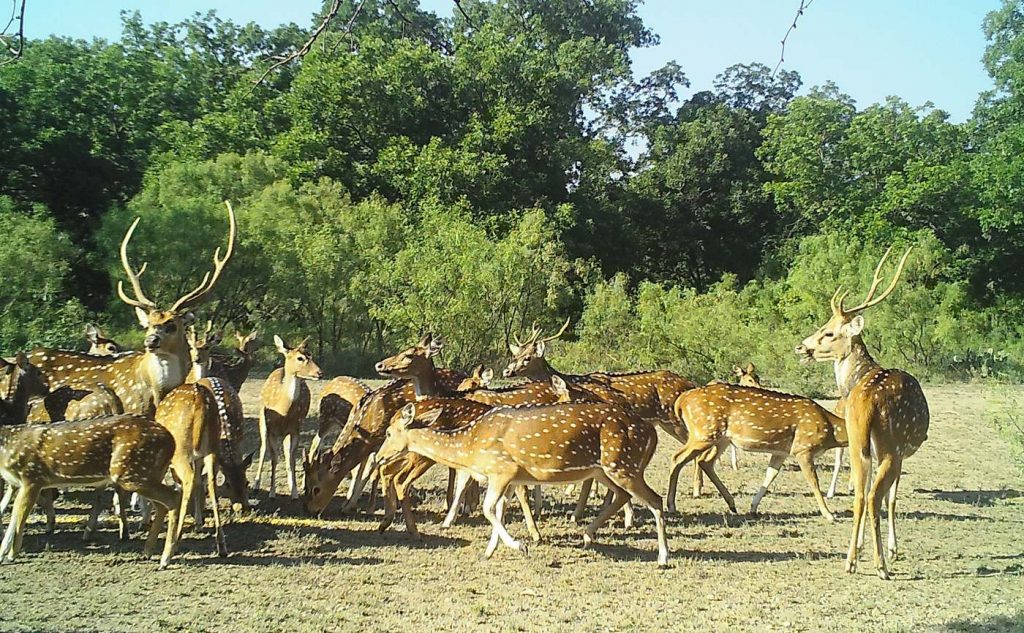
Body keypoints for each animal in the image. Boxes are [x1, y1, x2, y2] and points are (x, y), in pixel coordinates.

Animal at [0, 414, 180, 569]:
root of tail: (171, 441)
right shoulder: (16, 483)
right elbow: (13, 516)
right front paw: (3, 554)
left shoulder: (32, 478)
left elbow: (19, 518)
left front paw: (11, 555)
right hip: (148, 473)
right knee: (162, 505)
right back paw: (148, 552)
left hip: (131, 472)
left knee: (173, 497)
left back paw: (165, 559)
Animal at [253, 335, 322, 499]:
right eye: (300, 358)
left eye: (311, 355)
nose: (319, 373)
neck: (284, 411)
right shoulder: (271, 429)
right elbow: (273, 458)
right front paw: (272, 493)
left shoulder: (295, 428)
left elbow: (291, 459)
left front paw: (295, 493)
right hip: (262, 421)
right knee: (263, 448)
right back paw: (256, 485)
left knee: (285, 451)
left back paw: (291, 486)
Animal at [375, 391, 670, 566]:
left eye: (389, 433)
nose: (378, 456)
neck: (470, 448)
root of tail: (651, 433)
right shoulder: (511, 478)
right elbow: (499, 510)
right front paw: (489, 552)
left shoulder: (501, 469)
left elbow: (488, 509)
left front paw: (520, 546)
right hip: (605, 469)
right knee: (624, 495)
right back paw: (587, 535)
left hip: (623, 464)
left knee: (656, 499)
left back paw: (663, 557)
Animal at [668, 382, 848, 521]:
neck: (831, 430)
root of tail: (682, 400)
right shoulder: (803, 448)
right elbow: (814, 481)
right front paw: (829, 515)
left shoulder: (781, 451)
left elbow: (770, 475)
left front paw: (753, 508)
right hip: (704, 432)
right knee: (678, 457)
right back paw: (671, 506)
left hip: (721, 439)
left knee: (704, 461)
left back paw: (732, 504)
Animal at [795, 246, 928, 580]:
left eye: (828, 333)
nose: (801, 347)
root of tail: (869, 400)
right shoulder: (901, 451)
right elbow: (892, 498)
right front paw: (893, 550)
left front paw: (865, 547)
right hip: (892, 444)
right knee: (873, 496)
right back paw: (881, 566)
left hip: (858, 439)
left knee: (859, 493)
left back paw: (851, 559)